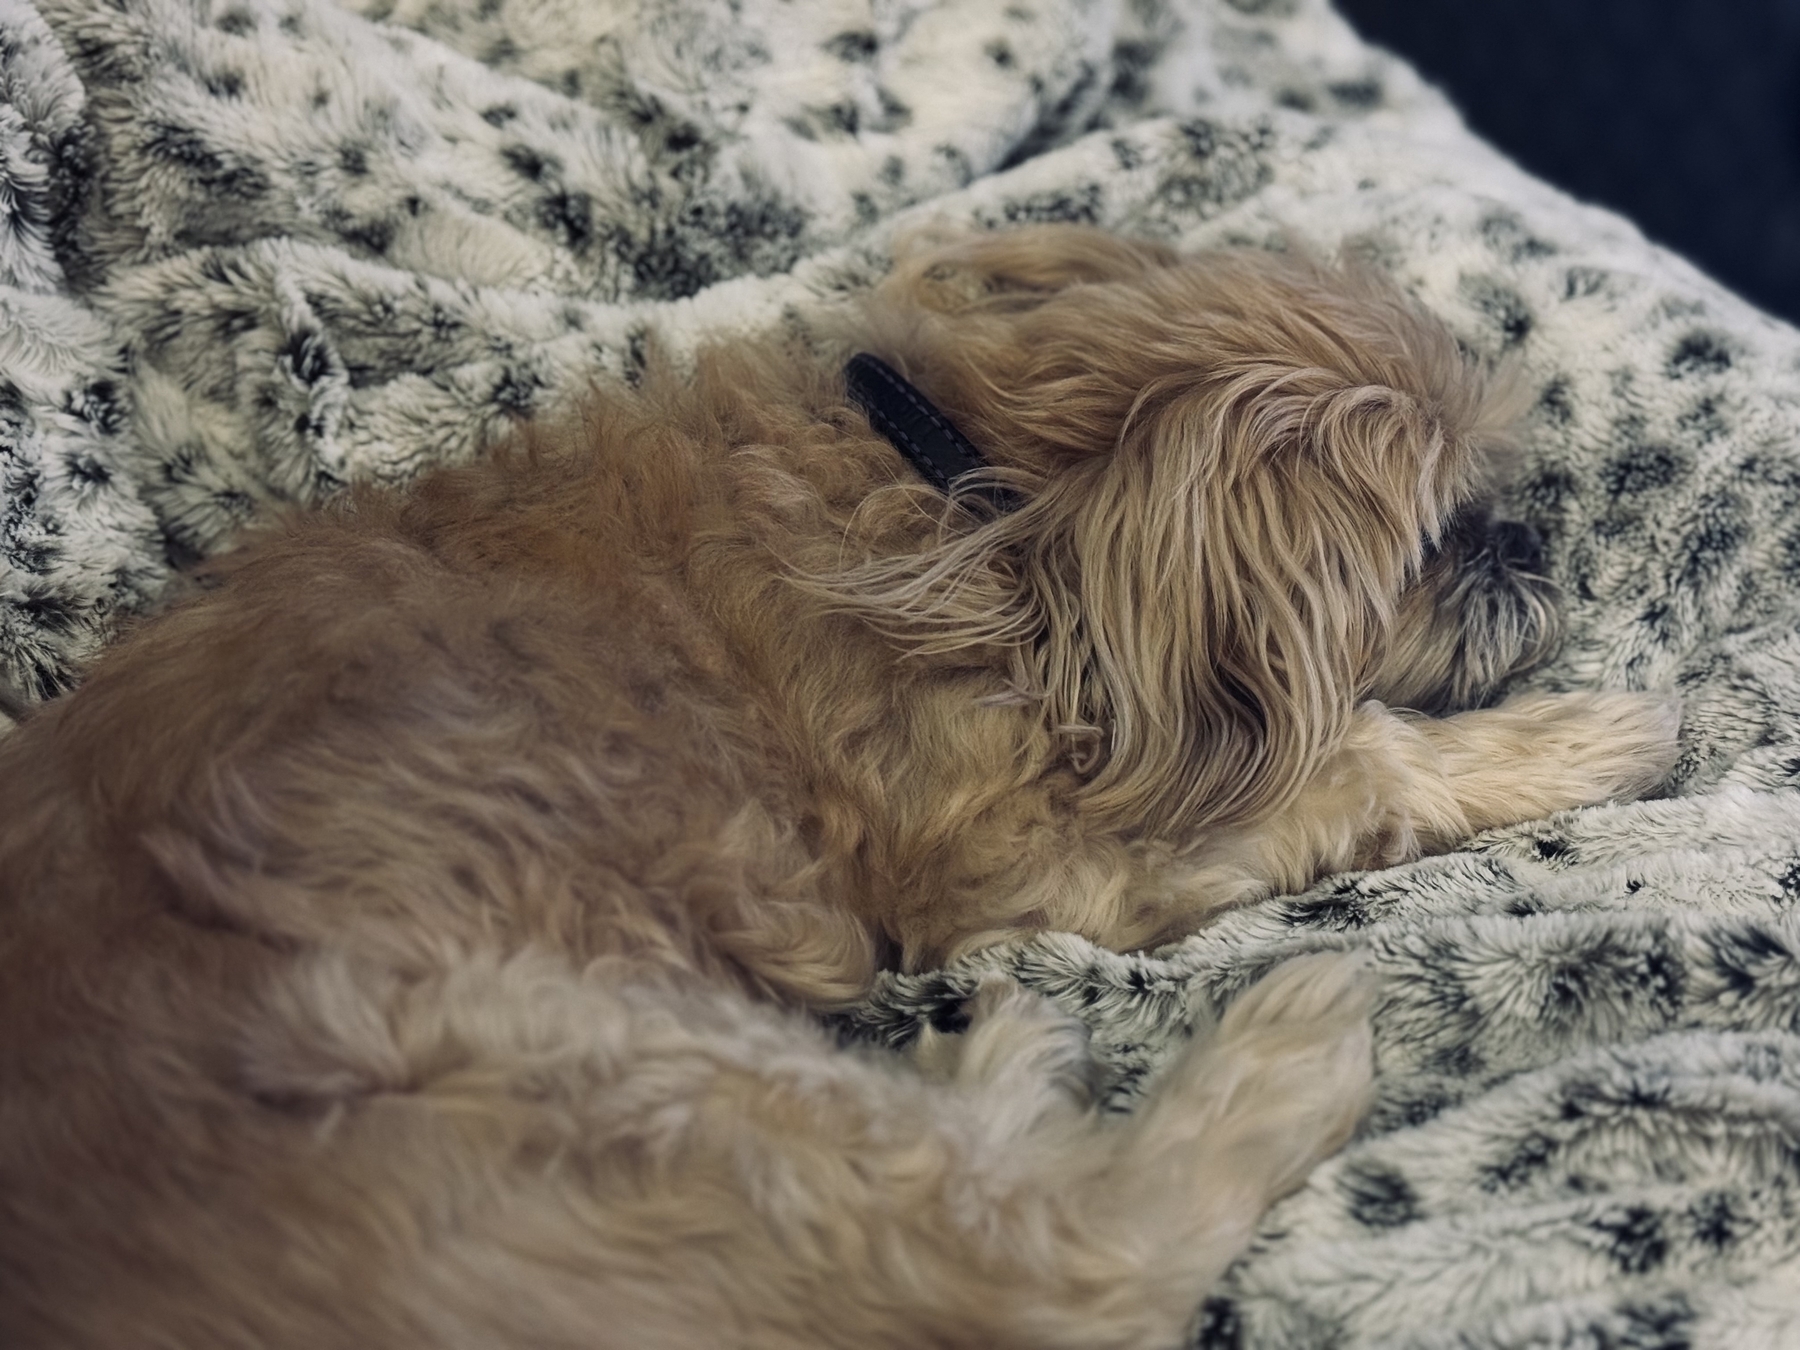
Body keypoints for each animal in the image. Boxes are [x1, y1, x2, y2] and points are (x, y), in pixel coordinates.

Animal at [0, 232, 1677, 1350]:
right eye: (1437, 539)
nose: (1529, 538)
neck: (974, 486)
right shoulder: (1048, 859)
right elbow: (1367, 759)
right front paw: (1593, 733)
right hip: (623, 1059)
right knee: (1057, 1263)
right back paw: (1264, 1041)